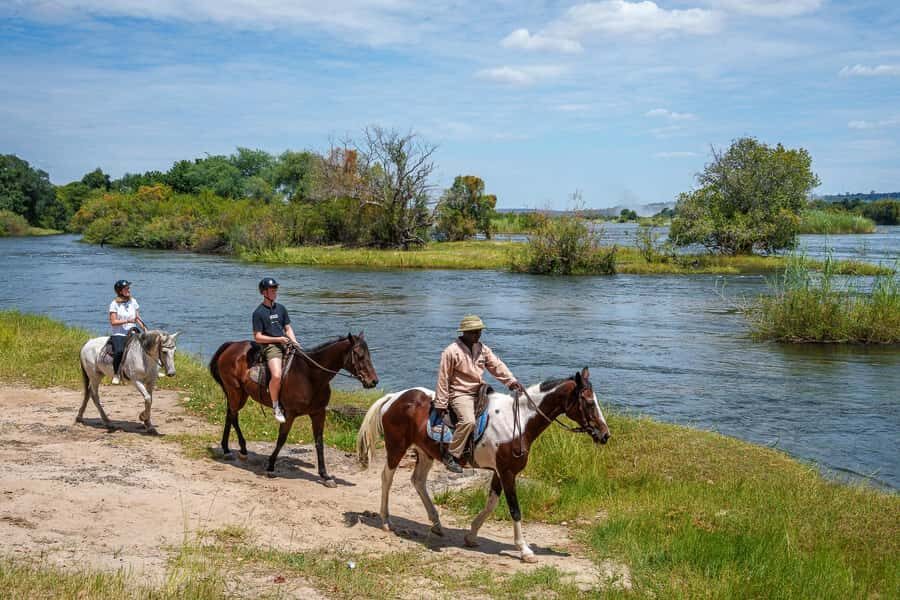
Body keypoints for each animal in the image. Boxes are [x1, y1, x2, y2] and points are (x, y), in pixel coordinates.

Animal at [209, 332, 378, 486]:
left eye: (368, 354)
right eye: (358, 355)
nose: (373, 381)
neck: (310, 376)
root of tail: (231, 346)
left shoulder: (318, 413)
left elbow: (319, 442)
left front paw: (325, 475)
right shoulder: (289, 414)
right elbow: (281, 439)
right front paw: (270, 466)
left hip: (240, 394)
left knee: (230, 415)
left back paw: (232, 449)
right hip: (235, 391)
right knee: (233, 415)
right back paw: (233, 450)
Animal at [357, 367, 609, 563]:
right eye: (589, 402)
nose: (605, 435)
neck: (518, 422)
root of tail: (393, 398)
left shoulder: (500, 472)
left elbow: (491, 504)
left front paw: (471, 535)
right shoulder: (507, 472)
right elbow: (514, 509)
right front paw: (525, 550)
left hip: (425, 452)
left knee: (418, 481)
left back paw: (436, 523)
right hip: (396, 447)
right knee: (387, 478)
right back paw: (386, 521)